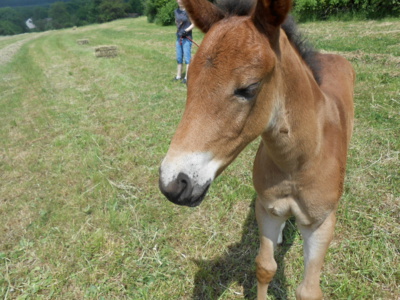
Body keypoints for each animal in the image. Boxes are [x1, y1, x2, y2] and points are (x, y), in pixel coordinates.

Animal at [158, 0, 354, 298]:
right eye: (188, 80)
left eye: (249, 87)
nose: (173, 183)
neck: (298, 161)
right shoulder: (267, 209)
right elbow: (265, 267)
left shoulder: (321, 224)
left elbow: (308, 290)